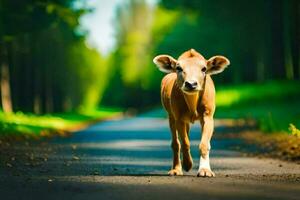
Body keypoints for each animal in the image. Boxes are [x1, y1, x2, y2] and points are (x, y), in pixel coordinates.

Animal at [154, 49, 229, 177]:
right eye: (178, 68)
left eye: (204, 68)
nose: (191, 84)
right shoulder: (178, 117)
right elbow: (185, 142)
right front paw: (188, 164)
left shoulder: (208, 115)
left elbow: (204, 144)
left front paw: (205, 170)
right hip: (171, 116)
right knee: (176, 143)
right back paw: (176, 169)